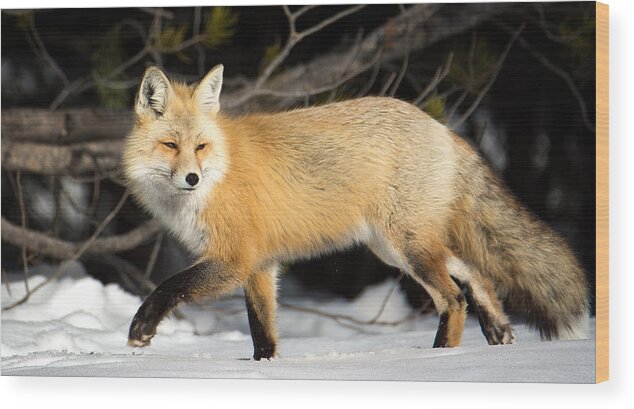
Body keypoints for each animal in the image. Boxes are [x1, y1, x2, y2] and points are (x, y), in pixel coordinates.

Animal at [123, 65, 588, 358]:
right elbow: (263, 334)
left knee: (454, 299)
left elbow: (170, 286)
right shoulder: (261, 265)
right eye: (170, 145)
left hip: (406, 246)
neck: (219, 173)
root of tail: (441, 127)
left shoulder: (235, 259)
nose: (192, 178)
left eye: (200, 147)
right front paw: (265, 369)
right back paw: (498, 334)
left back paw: (440, 359)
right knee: (475, 274)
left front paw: (142, 329)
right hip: (397, 246)